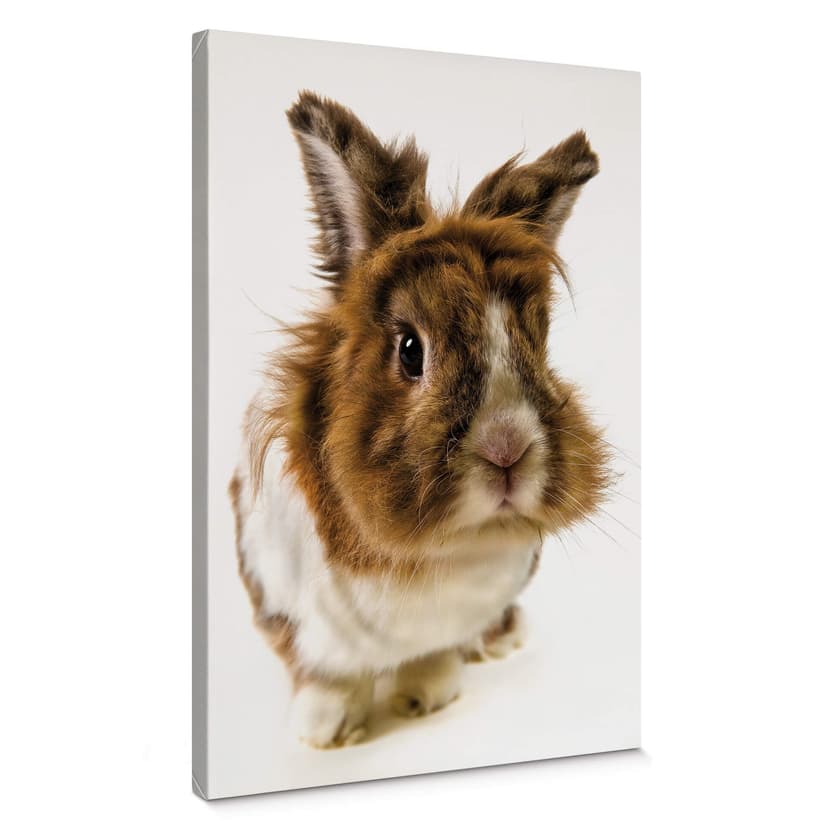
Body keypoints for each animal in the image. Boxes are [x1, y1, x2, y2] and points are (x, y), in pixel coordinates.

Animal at [229, 91, 611, 748]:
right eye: (411, 350)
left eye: (538, 345)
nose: (507, 450)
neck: (433, 554)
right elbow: (326, 676)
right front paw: (326, 732)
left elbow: (434, 656)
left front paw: (424, 699)